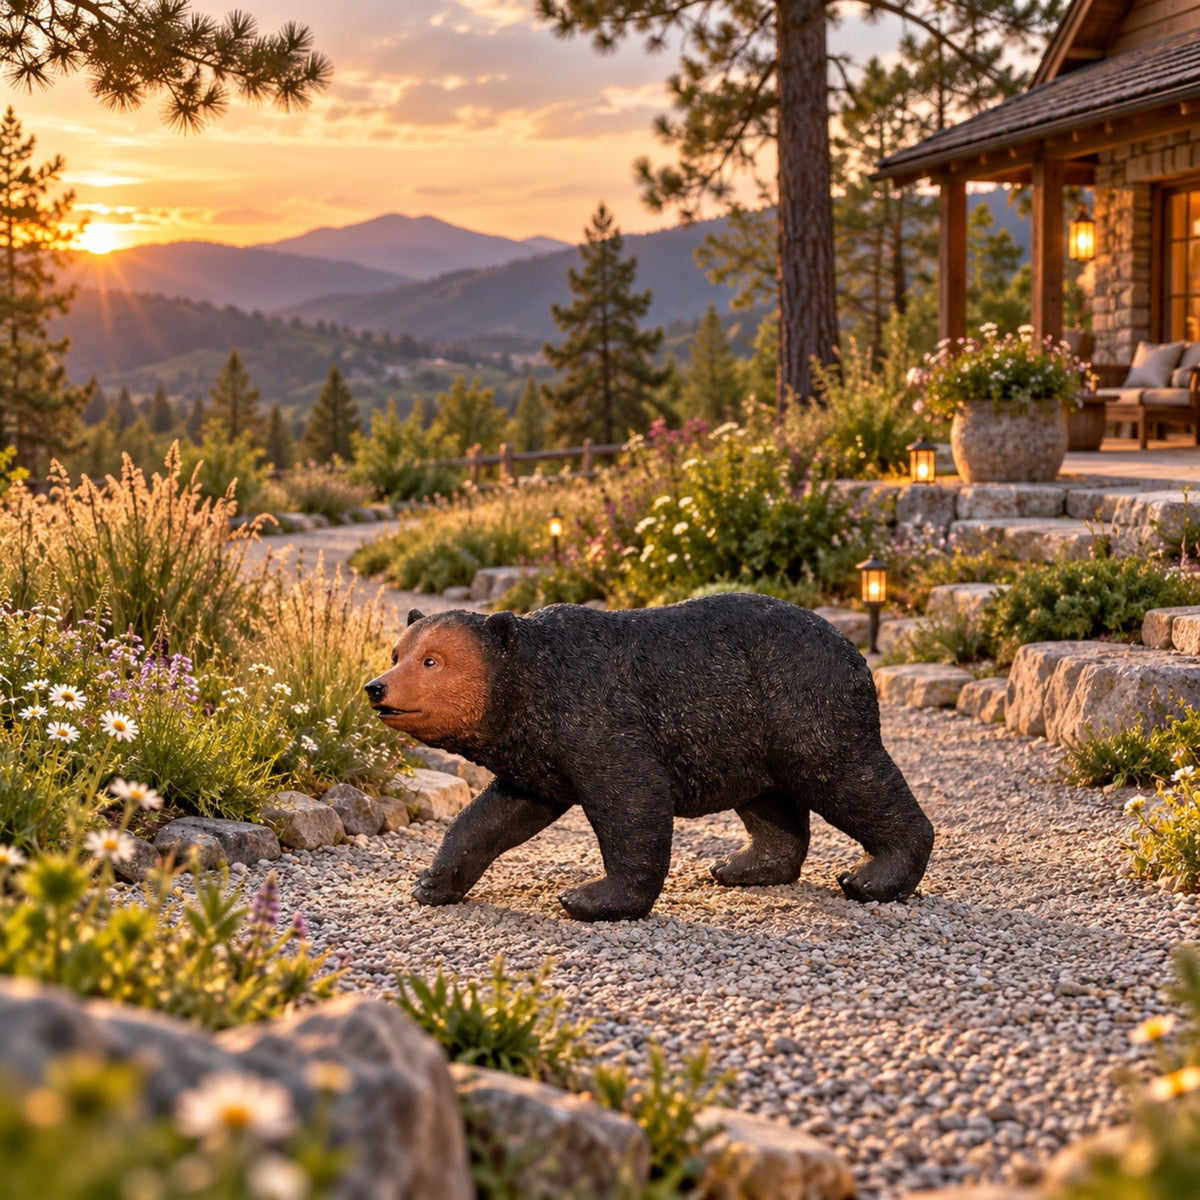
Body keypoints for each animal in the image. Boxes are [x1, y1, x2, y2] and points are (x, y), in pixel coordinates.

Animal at [364, 593, 934, 922]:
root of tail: (852, 648)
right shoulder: (538, 753)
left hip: (803, 701)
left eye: (432, 660)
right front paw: (431, 882)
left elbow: (633, 798)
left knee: (849, 775)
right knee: (770, 800)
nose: (375, 687)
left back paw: (875, 877)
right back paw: (743, 865)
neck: (532, 688)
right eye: (397, 652)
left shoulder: (597, 714)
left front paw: (592, 897)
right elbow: (496, 812)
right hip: (746, 733)